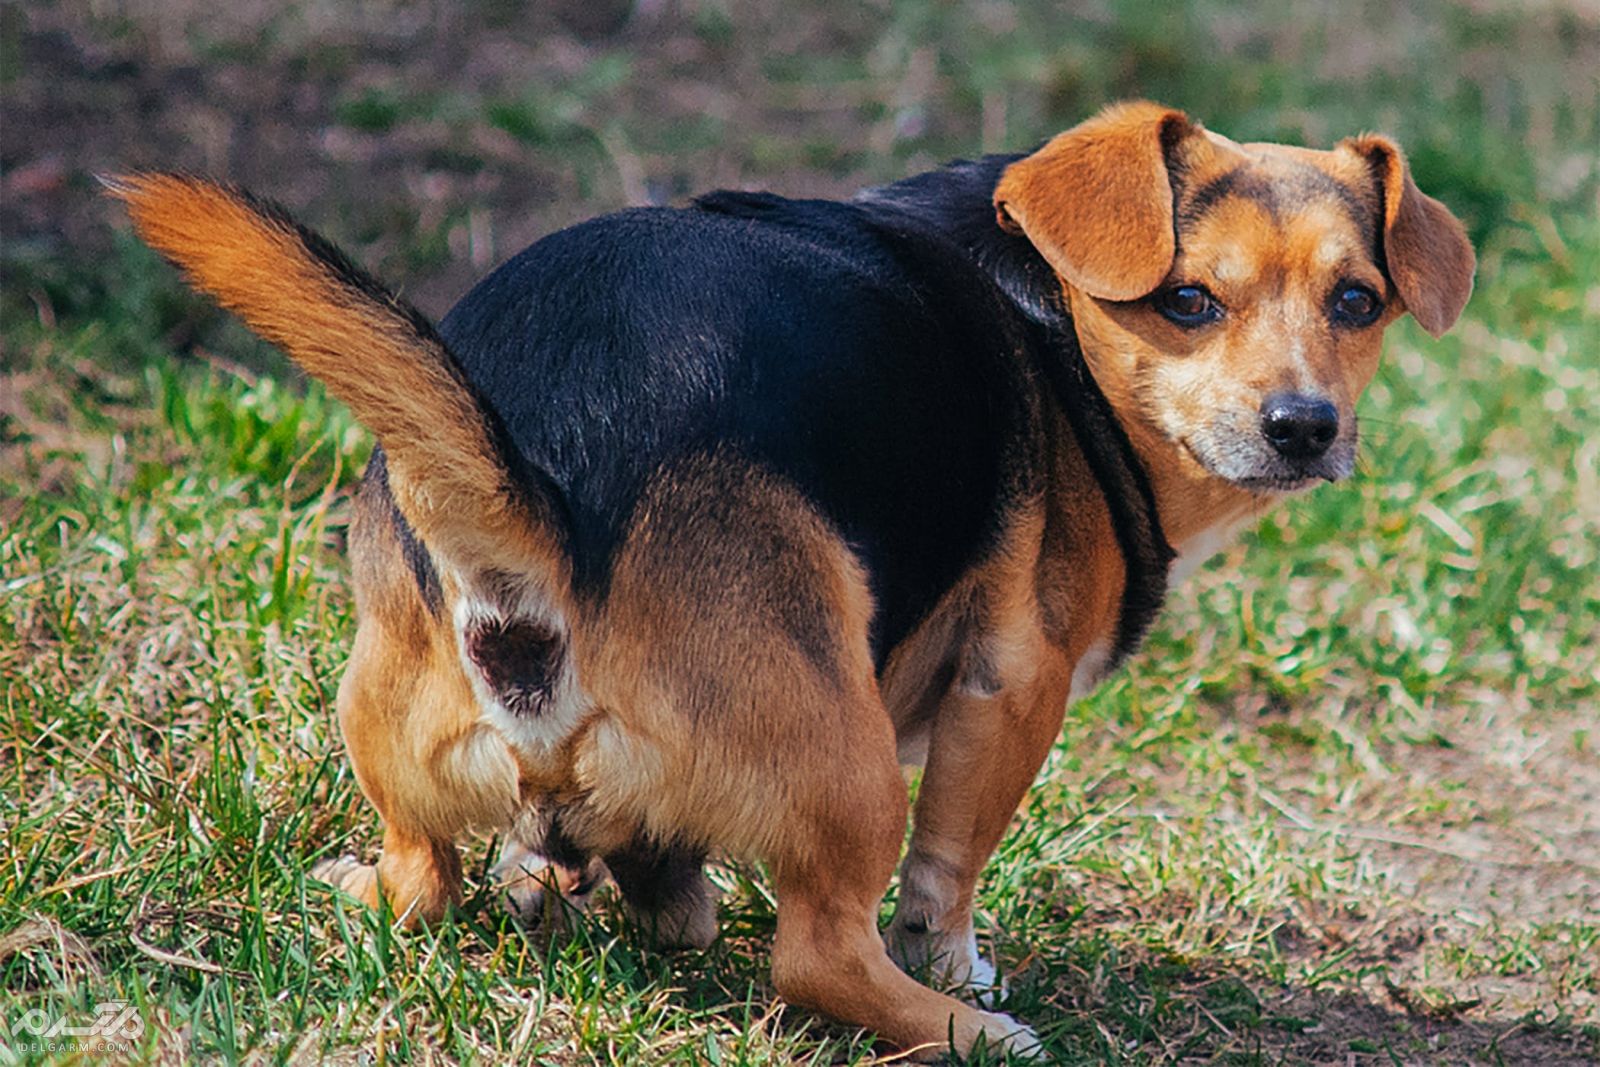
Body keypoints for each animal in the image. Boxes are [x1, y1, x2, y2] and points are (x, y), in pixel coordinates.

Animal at [112, 97, 1472, 1062]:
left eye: (1358, 301)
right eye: (1189, 299)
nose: (1304, 426)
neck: (1055, 318)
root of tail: (548, 501)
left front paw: (584, 886)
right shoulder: (1014, 682)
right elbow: (949, 869)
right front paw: (960, 972)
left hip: (390, 724)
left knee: (419, 881)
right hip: (853, 760)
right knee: (817, 952)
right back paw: (969, 1032)